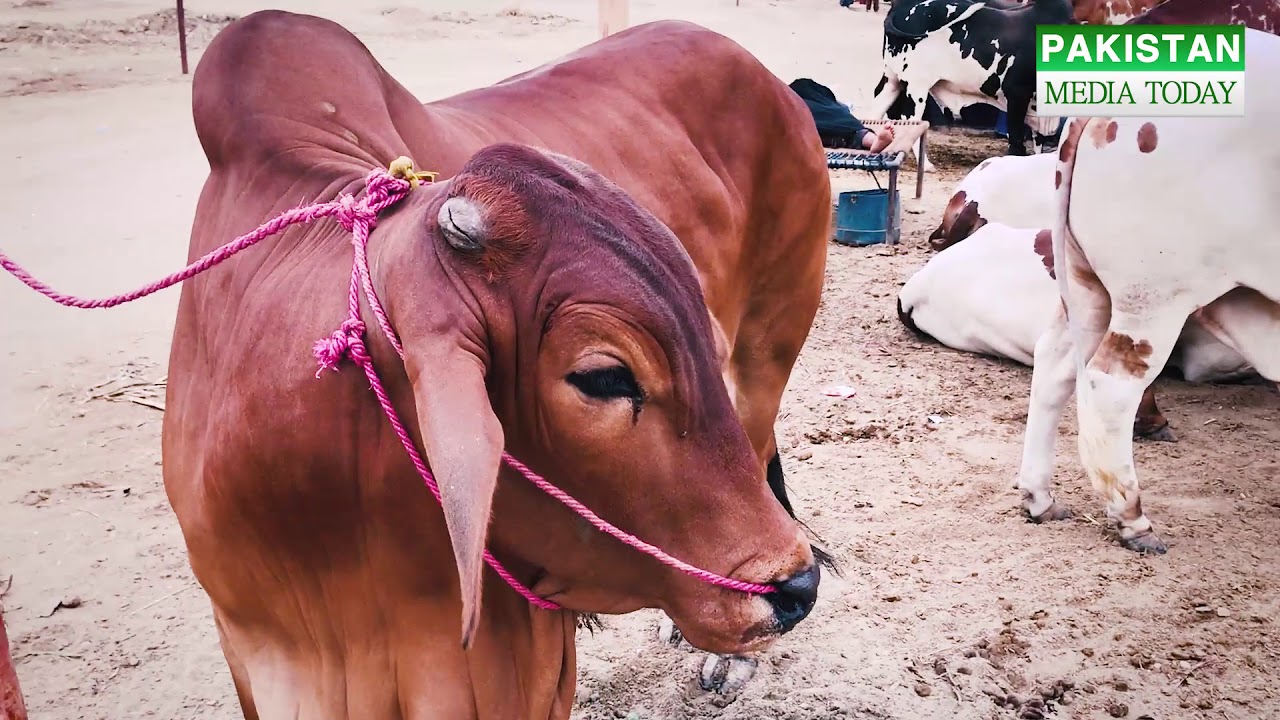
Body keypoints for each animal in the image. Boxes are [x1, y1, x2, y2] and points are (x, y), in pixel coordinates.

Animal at [857, 0, 1077, 170]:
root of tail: (901, 7)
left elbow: (1038, 142)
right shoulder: (1017, 95)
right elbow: (1016, 139)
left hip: (892, 79)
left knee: (875, 111)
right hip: (917, 85)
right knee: (910, 119)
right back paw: (926, 165)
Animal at [1013, 24, 1280, 555]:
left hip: (1085, 285)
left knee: (1054, 362)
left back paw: (1040, 497)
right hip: (1154, 296)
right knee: (1111, 385)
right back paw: (1132, 519)